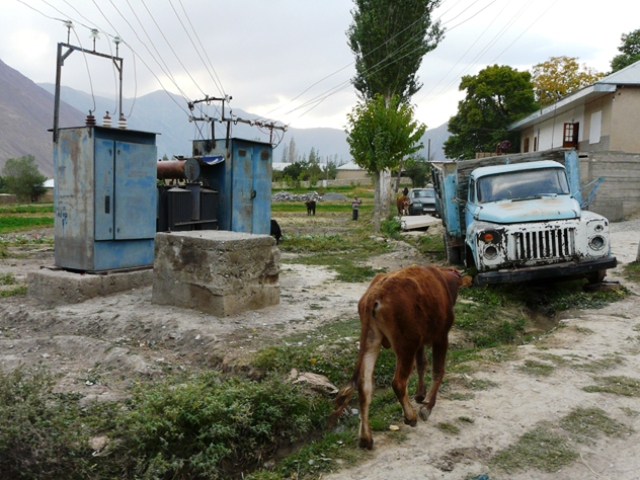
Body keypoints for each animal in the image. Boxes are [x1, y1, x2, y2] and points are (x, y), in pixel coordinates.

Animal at [330, 266, 470, 450]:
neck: (443, 280)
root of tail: (377, 292)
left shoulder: (421, 341)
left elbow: (422, 364)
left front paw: (420, 394)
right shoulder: (440, 337)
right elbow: (438, 370)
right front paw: (427, 406)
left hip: (372, 339)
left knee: (364, 386)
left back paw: (366, 438)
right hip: (406, 345)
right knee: (398, 382)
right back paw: (410, 417)